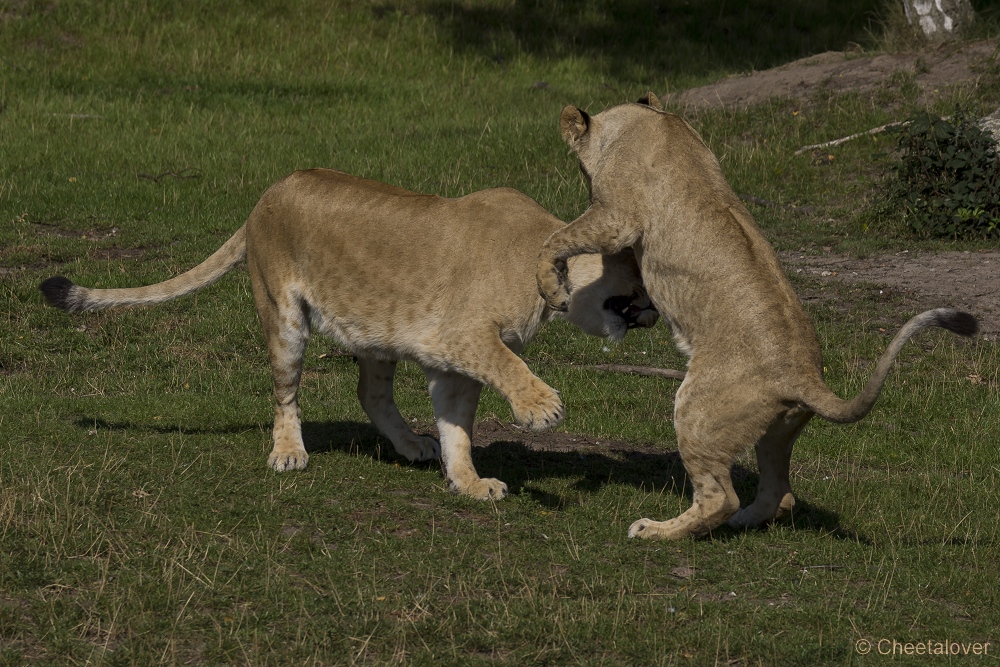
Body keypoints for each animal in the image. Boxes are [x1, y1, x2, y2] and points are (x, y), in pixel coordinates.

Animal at [43, 168, 660, 500]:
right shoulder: (462, 337)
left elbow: (458, 427)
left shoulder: (451, 363)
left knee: (370, 392)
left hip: (377, 330)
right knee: (285, 394)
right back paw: (288, 453)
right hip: (284, 317)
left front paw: (466, 481)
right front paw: (541, 408)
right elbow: (510, 366)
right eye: (637, 282)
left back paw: (412, 445)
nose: (656, 314)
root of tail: (265, 195)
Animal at [540, 96, 976, 540]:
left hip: (697, 411)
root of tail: (805, 377)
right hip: (778, 430)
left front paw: (551, 287)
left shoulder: (616, 218)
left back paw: (657, 530)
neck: (646, 120)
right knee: (780, 494)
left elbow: (555, 239)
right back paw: (742, 520)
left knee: (719, 497)